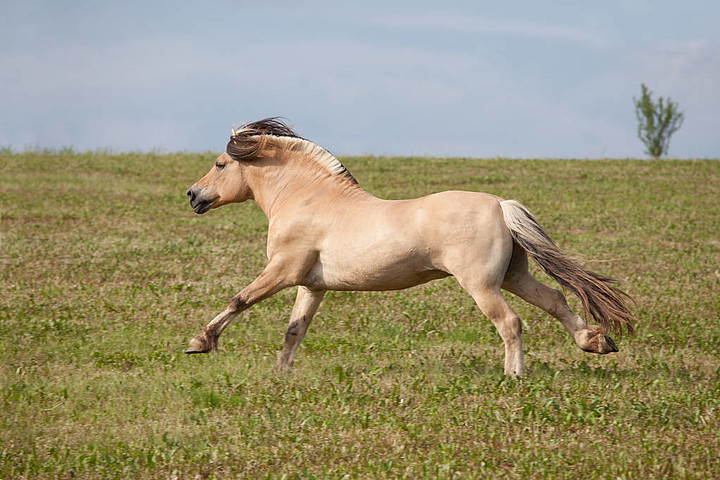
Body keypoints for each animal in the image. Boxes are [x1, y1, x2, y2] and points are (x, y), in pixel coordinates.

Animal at [183, 118, 632, 376]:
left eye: (220, 164)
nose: (193, 195)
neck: (306, 198)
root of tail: (500, 205)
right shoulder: (312, 285)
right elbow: (295, 329)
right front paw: (281, 375)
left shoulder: (283, 270)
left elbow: (240, 299)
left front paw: (200, 343)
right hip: (513, 276)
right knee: (556, 299)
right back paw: (595, 342)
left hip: (481, 285)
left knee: (510, 322)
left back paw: (514, 376)